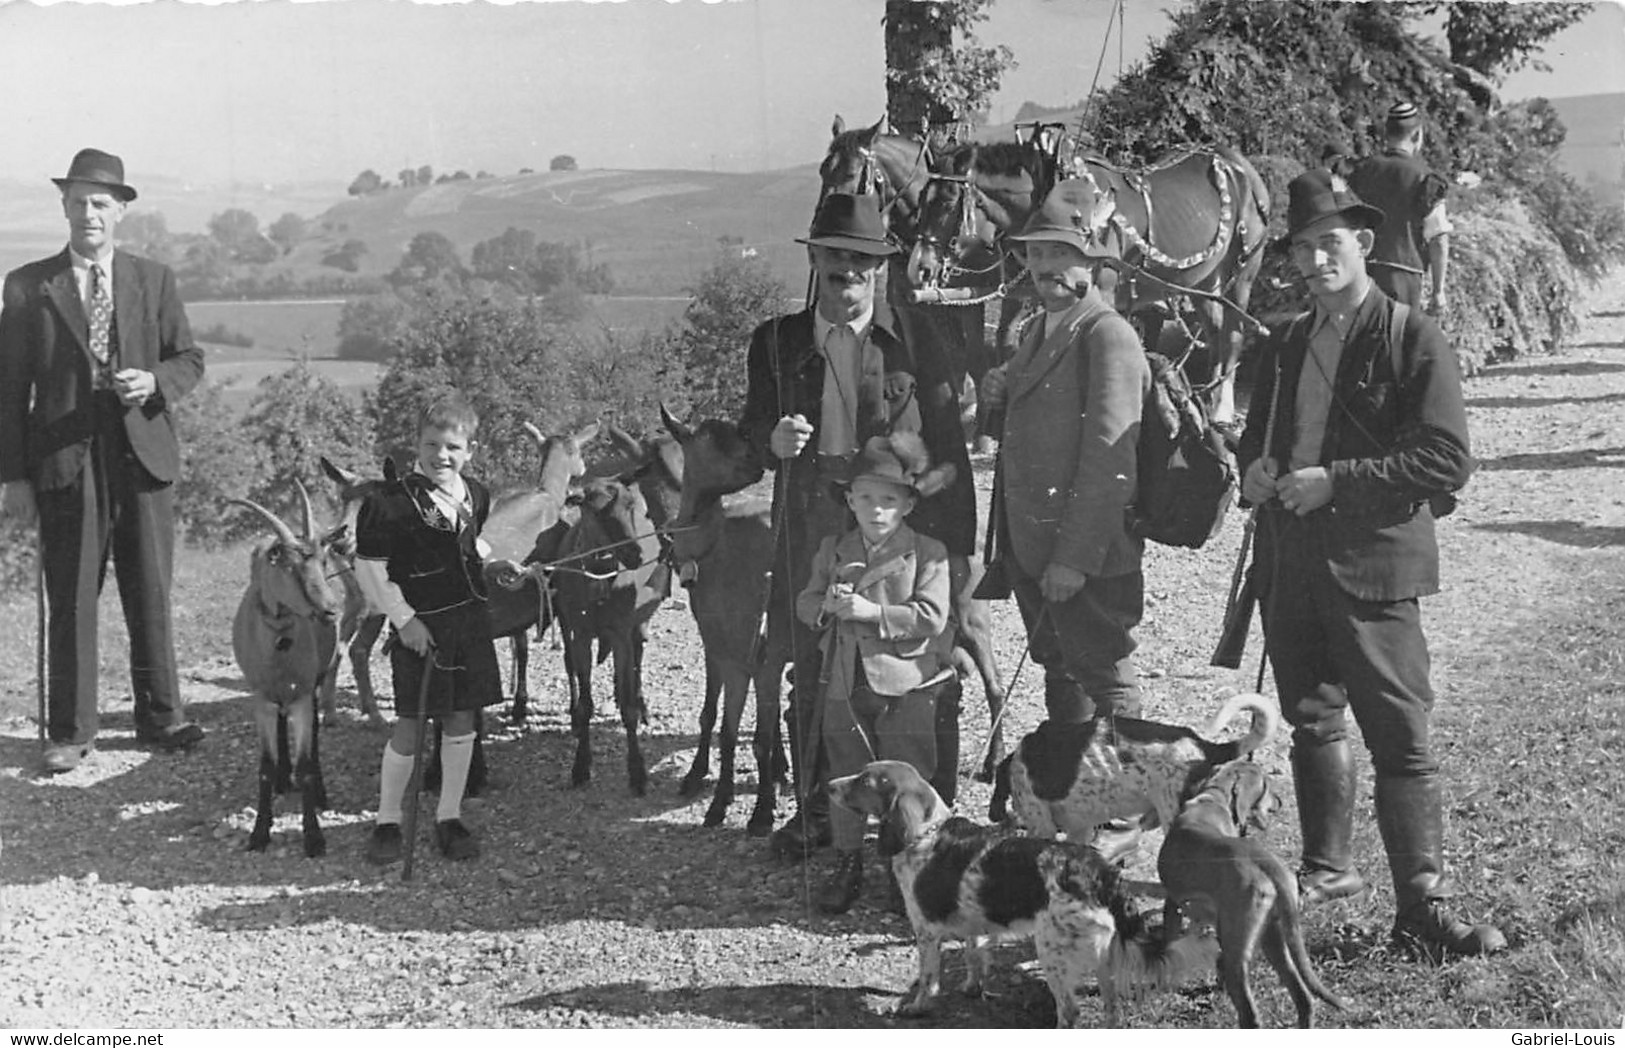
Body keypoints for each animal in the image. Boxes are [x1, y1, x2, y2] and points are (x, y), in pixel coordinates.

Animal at [832, 757, 1215, 1026]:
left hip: (1052, 951)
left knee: (1071, 1013)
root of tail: (1100, 873)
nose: (830, 785)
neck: (927, 831)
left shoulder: (925, 931)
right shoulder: (975, 923)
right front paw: (973, 988)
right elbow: (974, 956)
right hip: (1103, 959)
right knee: (1111, 1011)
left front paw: (916, 1007)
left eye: (864, 780)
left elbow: (928, 979)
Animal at [1157, 757, 1345, 1026]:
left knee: (1251, 1015)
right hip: (1273, 937)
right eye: (1266, 786)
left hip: (1240, 949)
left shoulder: (1172, 902)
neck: (1214, 798)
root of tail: (1267, 862)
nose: (1279, 802)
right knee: (1304, 998)